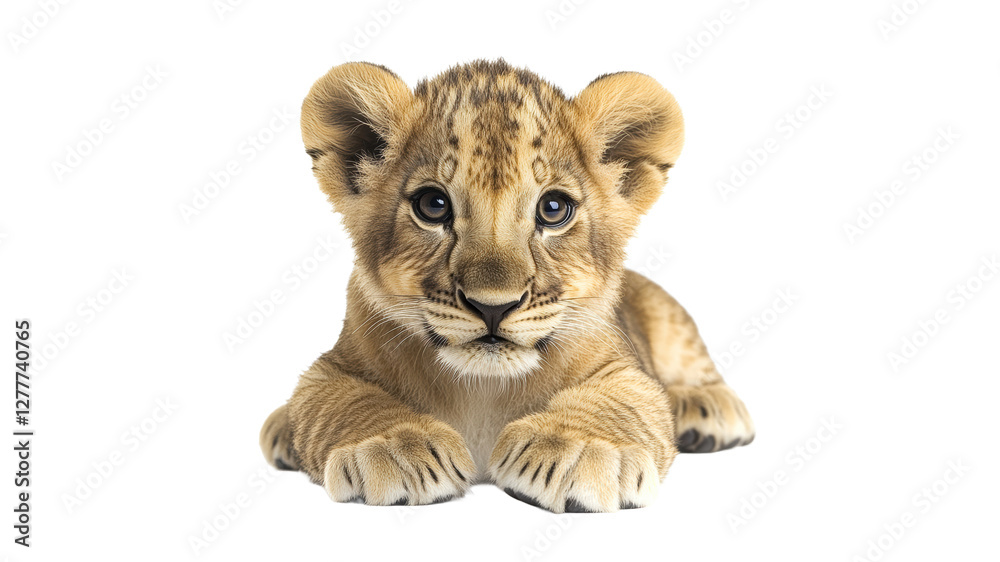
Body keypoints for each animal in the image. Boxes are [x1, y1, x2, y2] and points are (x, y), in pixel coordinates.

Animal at [259, 59, 754, 513]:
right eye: (433, 205)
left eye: (553, 209)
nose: (493, 307)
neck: (484, 389)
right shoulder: (330, 368)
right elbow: (343, 399)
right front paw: (397, 446)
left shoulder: (627, 370)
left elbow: (625, 402)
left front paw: (577, 449)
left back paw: (705, 408)